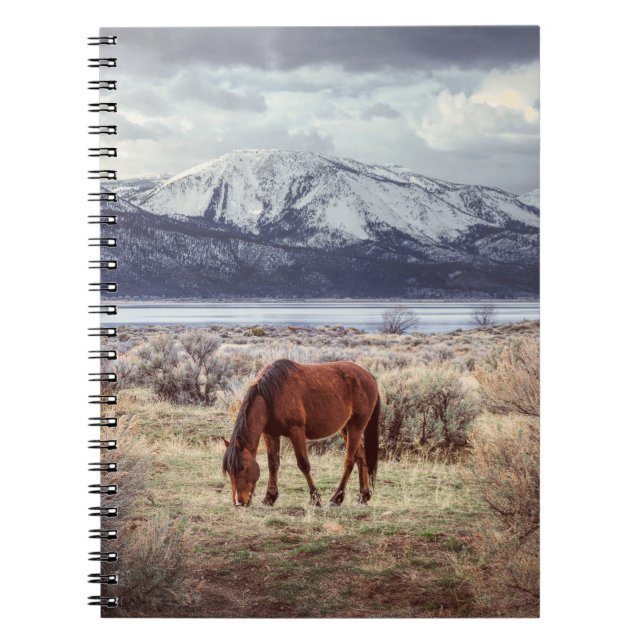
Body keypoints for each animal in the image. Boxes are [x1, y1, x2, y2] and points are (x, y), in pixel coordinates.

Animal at [222, 359, 380, 508]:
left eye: (242, 467)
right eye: (229, 470)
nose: (239, 502)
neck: (272, 396)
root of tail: (370, 376)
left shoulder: (296, 432)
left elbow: (304, 464)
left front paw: (315, 498)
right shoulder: (271, 435)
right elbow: (273, 464)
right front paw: (269, 497)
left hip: (356, 426)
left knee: (350, 460)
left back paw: (337, 498)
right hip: (346, 428)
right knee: (360, 456)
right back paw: (363, 496)